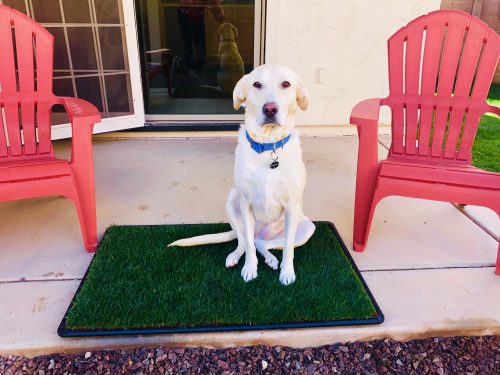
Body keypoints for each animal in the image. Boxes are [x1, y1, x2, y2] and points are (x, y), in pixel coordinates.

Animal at [170, 65, 314, 288]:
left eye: (286, 84)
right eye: (257, 84)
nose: (270, 109)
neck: (268, 147)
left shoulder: (292, 206)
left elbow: (288, 248)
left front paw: (287, 272)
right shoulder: (246, 203)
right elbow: (248, 246)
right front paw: (249, 268)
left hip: (306, 226)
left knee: (263, 243)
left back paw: (272, 259)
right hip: (232, 200)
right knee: (246, 241)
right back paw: (235, 256)